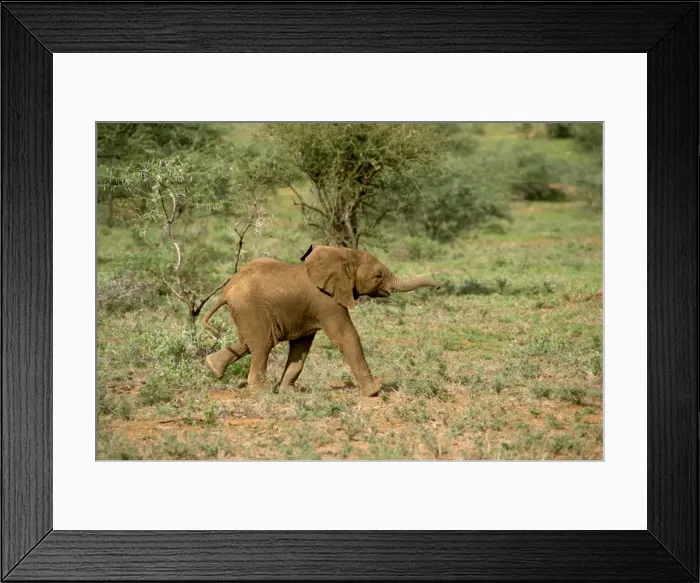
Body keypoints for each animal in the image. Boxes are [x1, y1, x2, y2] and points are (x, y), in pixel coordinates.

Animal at [202, 244, 441, 397]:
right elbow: (346, 336)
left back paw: (213, 367)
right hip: (251, 308)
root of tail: (226, 291)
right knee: (262, 345)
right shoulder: (327, 302)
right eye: (378, 276)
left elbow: (301, 348)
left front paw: (291, 392)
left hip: (248, 312)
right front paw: (374, 392)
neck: (342, 255)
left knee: (249, 341)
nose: (439, 287)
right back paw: (261, 392)